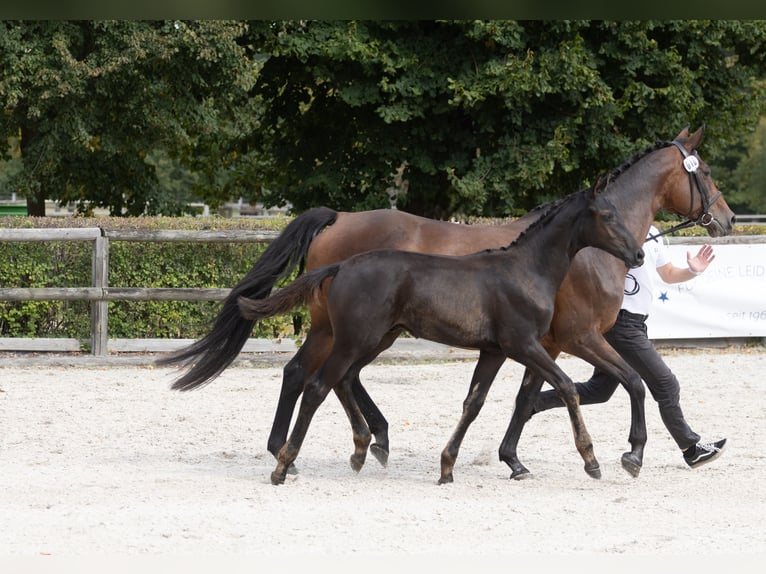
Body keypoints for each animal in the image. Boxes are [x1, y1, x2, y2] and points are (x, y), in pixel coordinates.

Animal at [237, 186, 644, 486]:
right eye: (607, 215)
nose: (638, 254)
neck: (526, 270)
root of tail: (341, 266)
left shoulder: (494, 351)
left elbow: (473, 403)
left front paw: (448, 467)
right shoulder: (525, 344)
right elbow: (567, 386)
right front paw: (592, 460)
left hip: (372, 340)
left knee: (340, 380)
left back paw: (360, 449)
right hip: (352, 340)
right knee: (316, 386)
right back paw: (284, 465)